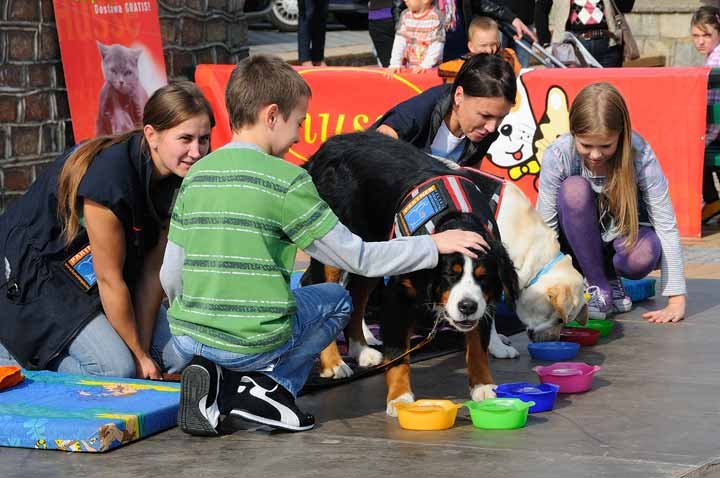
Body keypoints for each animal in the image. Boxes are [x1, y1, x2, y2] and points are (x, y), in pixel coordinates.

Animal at [304, 131, 516, 414]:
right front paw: (400, 397)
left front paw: (484, 386)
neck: (457, 220)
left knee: (357, 297)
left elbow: (478, 346)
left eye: (483, 277)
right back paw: (334, 364)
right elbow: (397, 353)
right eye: (450, 274)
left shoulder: (485, 300)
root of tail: (331, 143)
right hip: (333, 243)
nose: (467, 306)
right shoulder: (399, 296)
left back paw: (362, 350)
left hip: (376, 250)